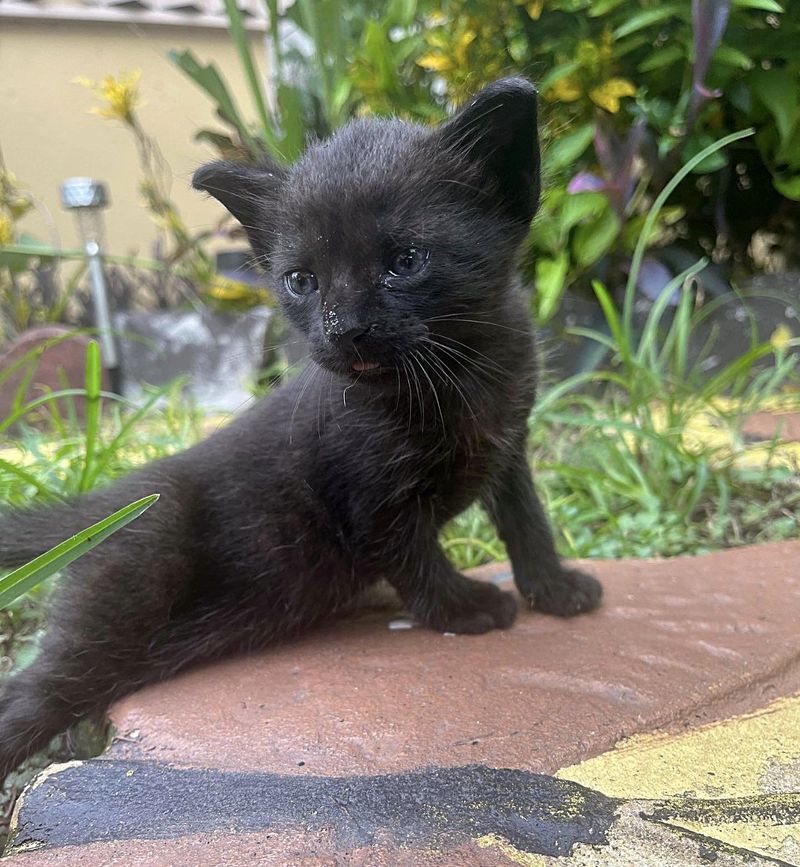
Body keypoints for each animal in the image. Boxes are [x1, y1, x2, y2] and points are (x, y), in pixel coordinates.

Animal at [0, 79, 600, 780]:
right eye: (301, 280)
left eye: (406, 260)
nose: (344, 328)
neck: (459, 374)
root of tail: (100, 507)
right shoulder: (371, 496)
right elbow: (416, 555)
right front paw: (464, 608)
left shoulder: (508, 448)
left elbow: (527, 519)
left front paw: (554, 588)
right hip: (126, 593)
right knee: (37, 689)